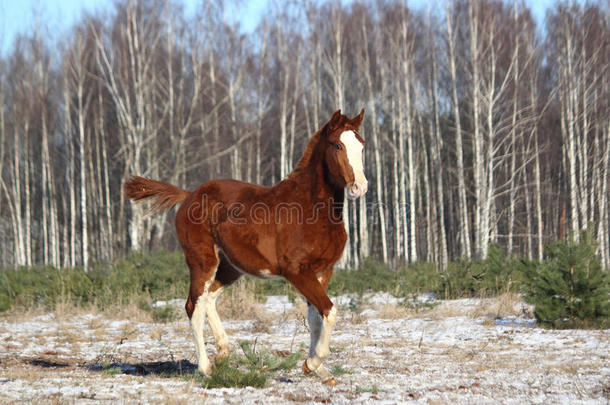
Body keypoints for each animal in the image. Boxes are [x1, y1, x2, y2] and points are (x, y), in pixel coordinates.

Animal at [124, 109, 366, 384]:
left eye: (362, 145)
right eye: (337, 145)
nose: (360, 187)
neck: (311, 209)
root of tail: (188, 196)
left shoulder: (323, 271)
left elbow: (316, 317)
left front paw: (318, 370)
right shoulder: (296, 271)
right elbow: (330, 311)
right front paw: (313, 363)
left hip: (230, 267)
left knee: (209, 298)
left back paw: (222, 353)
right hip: (202, 260)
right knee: (193, 305)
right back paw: (205, 368)